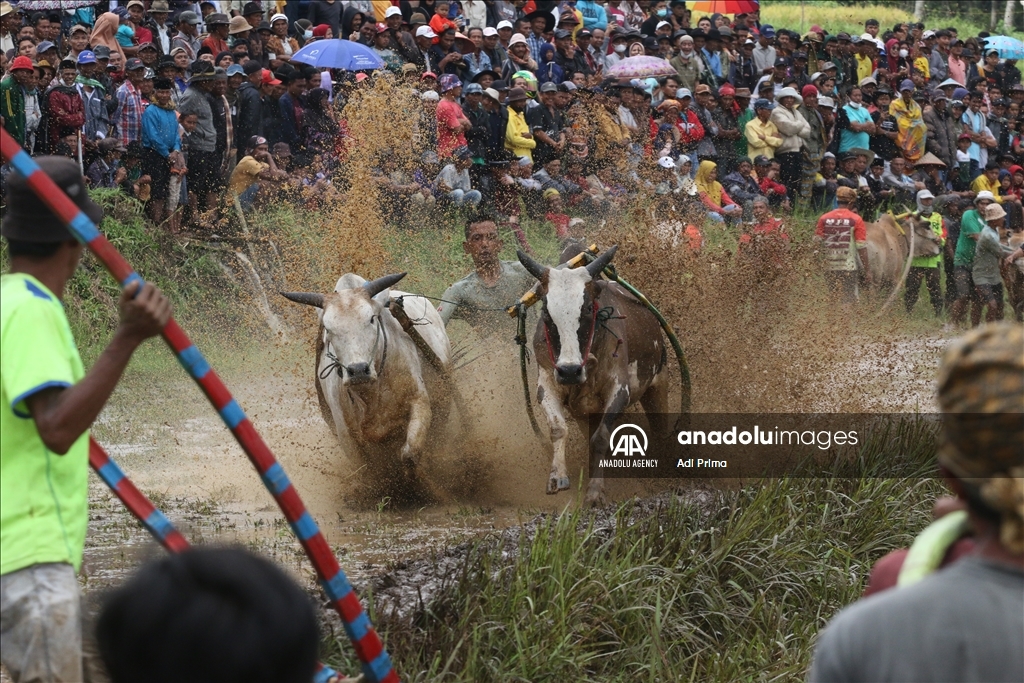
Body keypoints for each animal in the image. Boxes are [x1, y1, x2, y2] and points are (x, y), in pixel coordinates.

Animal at [282, 270, 454, 471]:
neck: (370, 393)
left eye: (372, 319)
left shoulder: (419, 401)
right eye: (328, 329)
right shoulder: (347, 436)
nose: (358, 370)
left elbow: (409, 455)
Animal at [520, 248, 671, 505]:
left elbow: (601, 437)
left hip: (657, 385)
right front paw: (557, 477)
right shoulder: (548, 383)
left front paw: (595, 490)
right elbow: (558, 428)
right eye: (546, 313)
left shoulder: (619, 389)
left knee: (661, 429)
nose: (570, 371)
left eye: (588, 309)